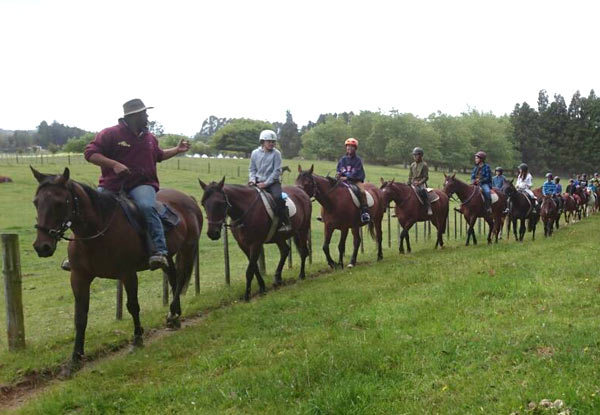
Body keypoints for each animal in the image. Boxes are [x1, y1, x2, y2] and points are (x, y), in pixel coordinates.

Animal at [31, 167, 204, 376]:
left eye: (58, 203)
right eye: (36, 202)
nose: (42, 247)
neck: (97, 232)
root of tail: (189, 199)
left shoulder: (128, 274)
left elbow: (133, 306)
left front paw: (137, 340)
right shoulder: (79, 277)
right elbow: (80, 317)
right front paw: (75, 359)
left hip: (187, 248)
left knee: (179, 278)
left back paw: (173, 315)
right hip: (169, 255)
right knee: (173, 277)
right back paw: (174, 315)